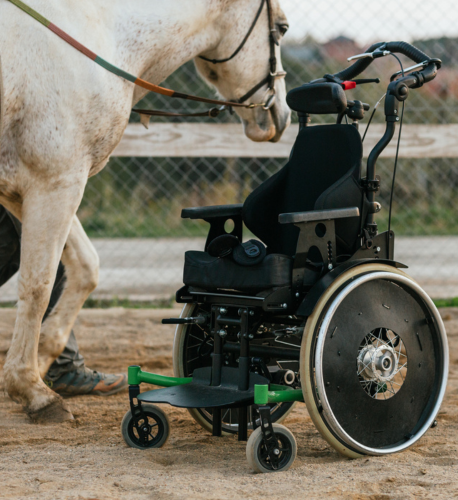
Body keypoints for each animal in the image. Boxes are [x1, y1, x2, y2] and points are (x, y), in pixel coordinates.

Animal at [0, 0, 290, 422]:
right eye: (282, 28)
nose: (281, 116)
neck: (99, 35)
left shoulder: (30, 190)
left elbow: (84, 268)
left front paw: (41, 364)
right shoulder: (55, 181)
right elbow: (38, 285)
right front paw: (33, 389)